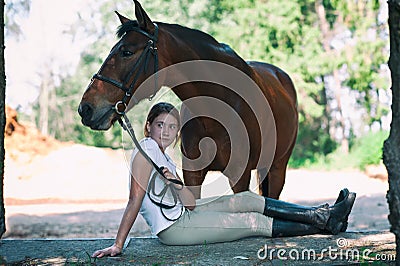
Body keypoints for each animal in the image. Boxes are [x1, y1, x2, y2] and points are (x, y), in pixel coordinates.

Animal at [78, 0, 296, 200]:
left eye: (127, 52)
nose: (85, 108)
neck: (216, 106)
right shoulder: (192, 175)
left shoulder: (239, 176)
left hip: (277, 168)